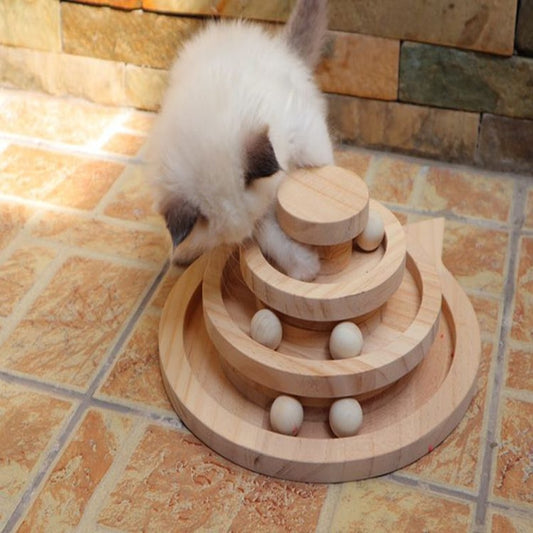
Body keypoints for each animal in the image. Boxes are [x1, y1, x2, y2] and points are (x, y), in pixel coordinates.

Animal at [148, 0, 332, 280]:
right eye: (248, 233)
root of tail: (279, 47)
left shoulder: (300, 129)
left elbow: (321, 163)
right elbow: (269, 238)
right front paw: (305, 269)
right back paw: (182, 254)